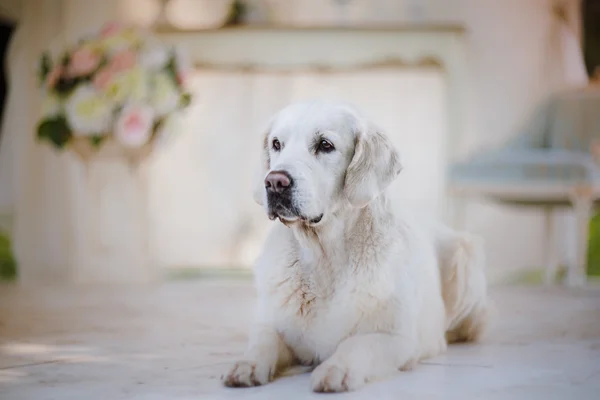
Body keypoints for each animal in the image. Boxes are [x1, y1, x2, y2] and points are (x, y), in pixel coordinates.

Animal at [223, 100, 486, 394]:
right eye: (276, 143)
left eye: (325, 145)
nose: (274, 182)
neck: (323, 258)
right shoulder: (271, 322)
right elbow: (263, 341)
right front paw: (246, 365)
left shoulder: (398, 337)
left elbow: (357, 344)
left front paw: (336, 369)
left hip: (465, 256)